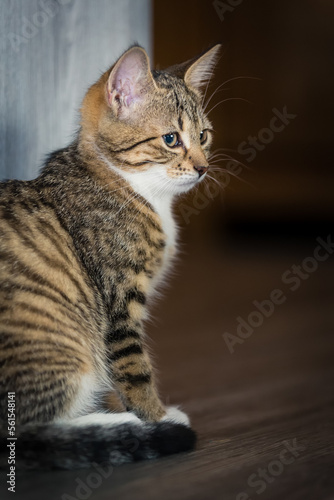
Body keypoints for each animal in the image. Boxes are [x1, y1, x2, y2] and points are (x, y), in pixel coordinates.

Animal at [0, 44, 220, 468]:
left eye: (203, 135)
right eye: (171, 139)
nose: (203, 168)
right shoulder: (118, 301)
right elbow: (133, 369)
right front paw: (155, 416)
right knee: (29, 432)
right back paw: (123, 426)